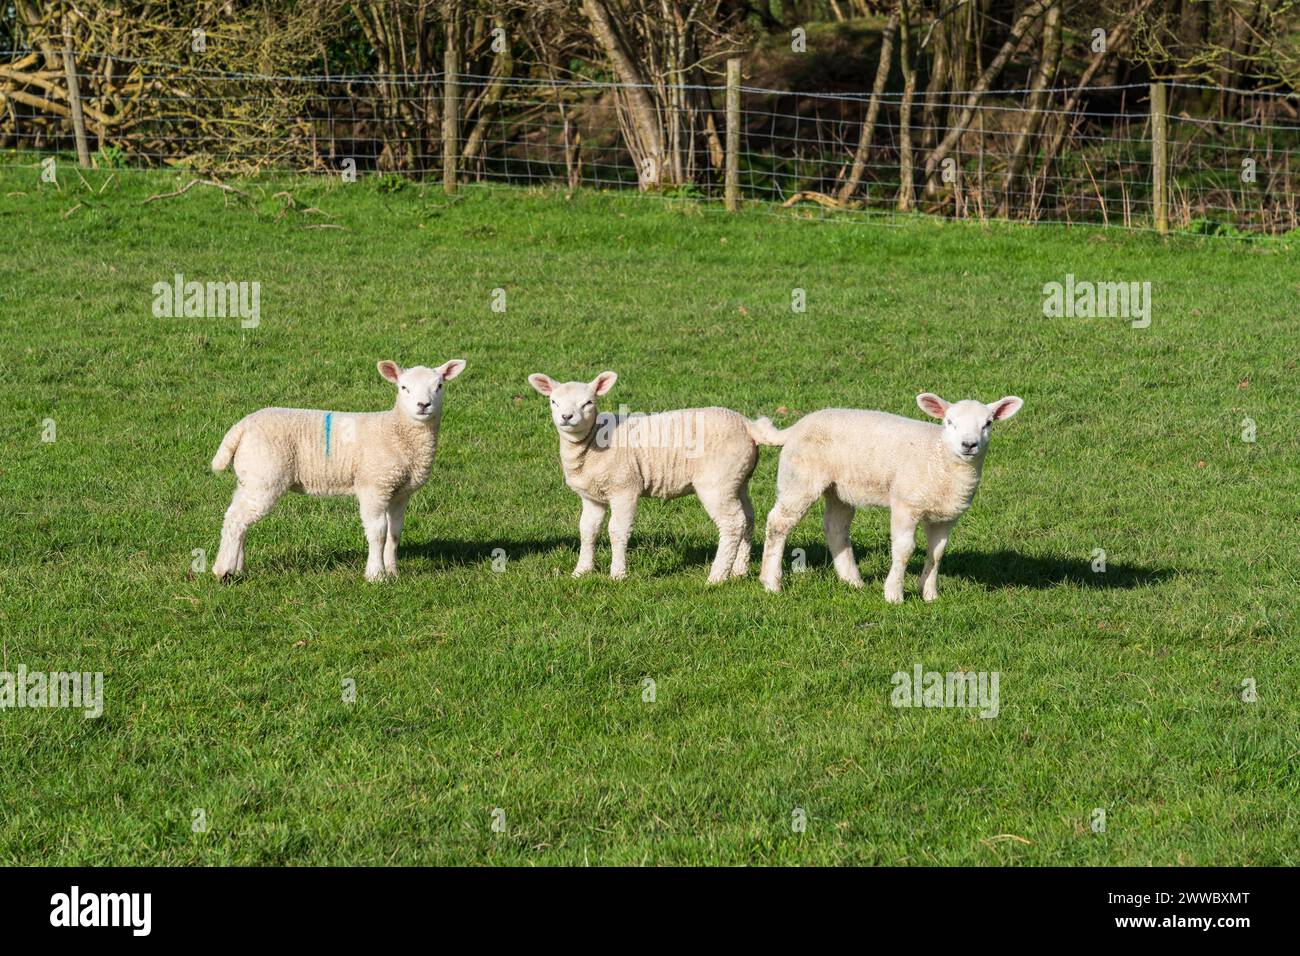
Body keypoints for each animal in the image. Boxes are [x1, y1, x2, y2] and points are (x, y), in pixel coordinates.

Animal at [213, 358, 473, 582]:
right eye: (404, 387)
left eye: (439, 386)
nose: (423, 405)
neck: (395, 431)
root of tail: (241, 427)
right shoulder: (374, 486)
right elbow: (378, 532)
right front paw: (376, 575)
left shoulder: (400, 492)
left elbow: (395, 533)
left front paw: (393, 572)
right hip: (265, 476)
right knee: (237, 520)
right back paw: (223, 571)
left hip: (250, 477)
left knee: (237, 518)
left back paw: (235, 567)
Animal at [522, 369, 774, 582]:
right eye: (553, 402)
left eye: (588, 403)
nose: (566, 417)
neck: (594, 440)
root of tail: (747, 425)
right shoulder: (592, 496)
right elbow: (587, 531)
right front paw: (581, 571)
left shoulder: (624, 488)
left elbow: (617, 531)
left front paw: (618, 574)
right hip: (738, 479)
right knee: (748, 518)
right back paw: (739, 570)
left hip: (717, 481)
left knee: (733, 522)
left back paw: (717, 577)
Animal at [759, 392, 1019, 600]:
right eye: (949, 422)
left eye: (988, 423)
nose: (969, 444)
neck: (938, 457)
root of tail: (795, 427)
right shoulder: (906, 504)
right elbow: (904, 550)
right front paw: (894, 594)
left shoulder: (946, 516)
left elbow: (936, 554)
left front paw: (930, 595)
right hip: (799, 478)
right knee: (778, 523)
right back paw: (771, 582)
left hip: (839, 489)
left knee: (835, 528)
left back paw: (852, 581)